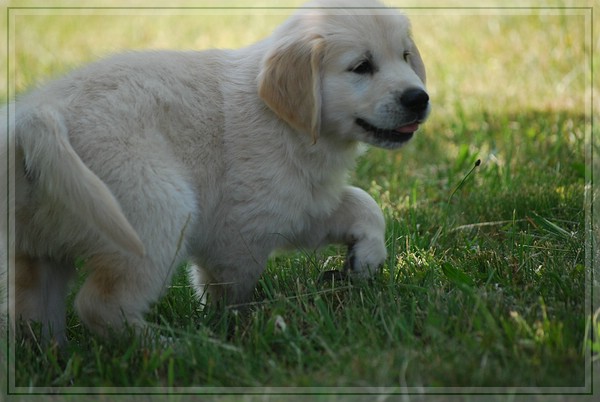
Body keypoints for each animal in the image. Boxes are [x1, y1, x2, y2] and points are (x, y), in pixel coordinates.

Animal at [0, 0, 430, 343]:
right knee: (98, 305)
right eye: (361, 67)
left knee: (30, 310)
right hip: (158, 211)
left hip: (43, 241)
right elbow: (230, 288)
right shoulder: (241, 229)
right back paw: (173, 346)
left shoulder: (299, 202)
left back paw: (53, 353)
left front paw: (366, 258)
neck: (284, 121)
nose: (419, 98)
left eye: (405, 56)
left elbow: (363, 203)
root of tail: (35, 117)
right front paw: (237, 326)